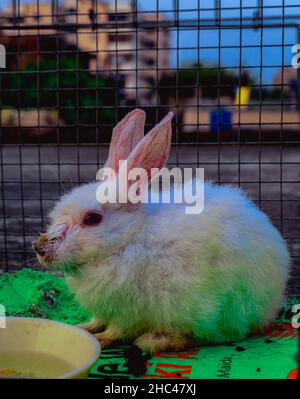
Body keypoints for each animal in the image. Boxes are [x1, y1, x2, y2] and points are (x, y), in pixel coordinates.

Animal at [34, 109, 290, 354]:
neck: (126, 242)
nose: (39, 248)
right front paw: (83, 326)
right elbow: (97, 319)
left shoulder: (129, 312)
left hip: (222, 310)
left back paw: (155, 340)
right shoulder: (106, 308)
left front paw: (101, 339)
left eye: (92, 219)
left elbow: (117, 330)